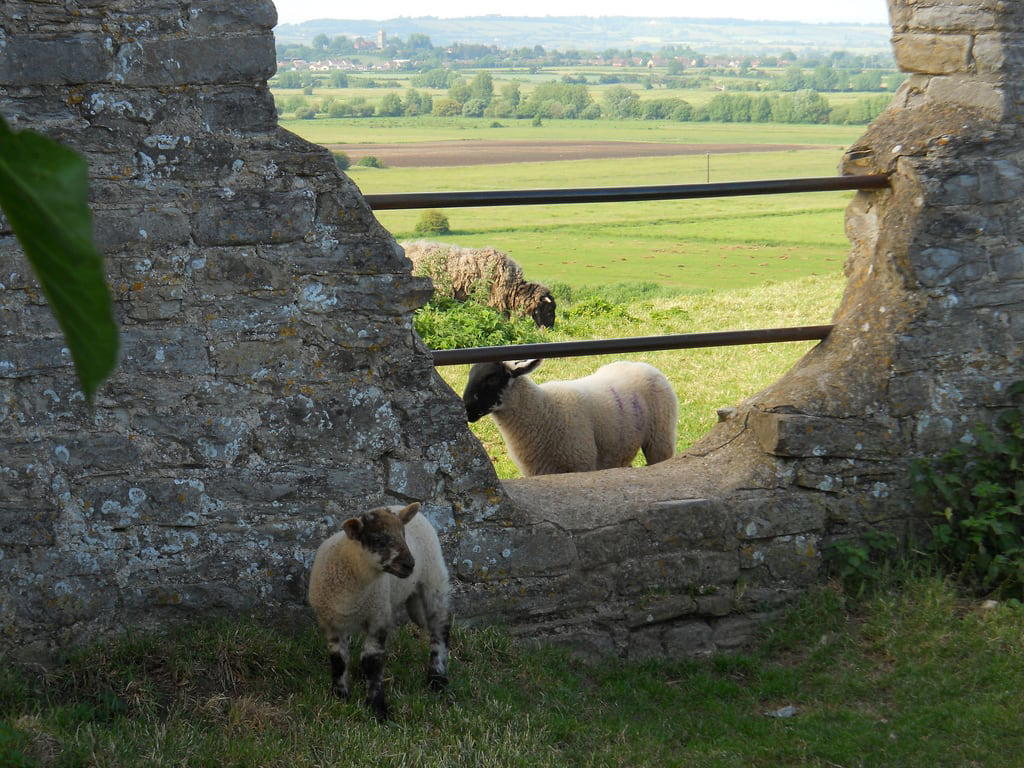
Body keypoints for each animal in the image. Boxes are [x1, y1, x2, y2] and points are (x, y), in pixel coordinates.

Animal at [307, 501, 452, 724]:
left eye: (403, 534)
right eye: (377, 539)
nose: (410, 564)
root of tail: (401, 506)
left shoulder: (377, 618)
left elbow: (372, 661)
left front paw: (377, 708)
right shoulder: (331, 623)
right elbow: (339, 660)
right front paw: (340, 697)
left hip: (434, 579)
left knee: (440, 627)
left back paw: (437, 677)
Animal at [464, 360, 679, 475]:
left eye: (492, 378)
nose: (466, 408)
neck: (542, 409)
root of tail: (642, 364)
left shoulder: (581, 463)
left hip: (660, 438)